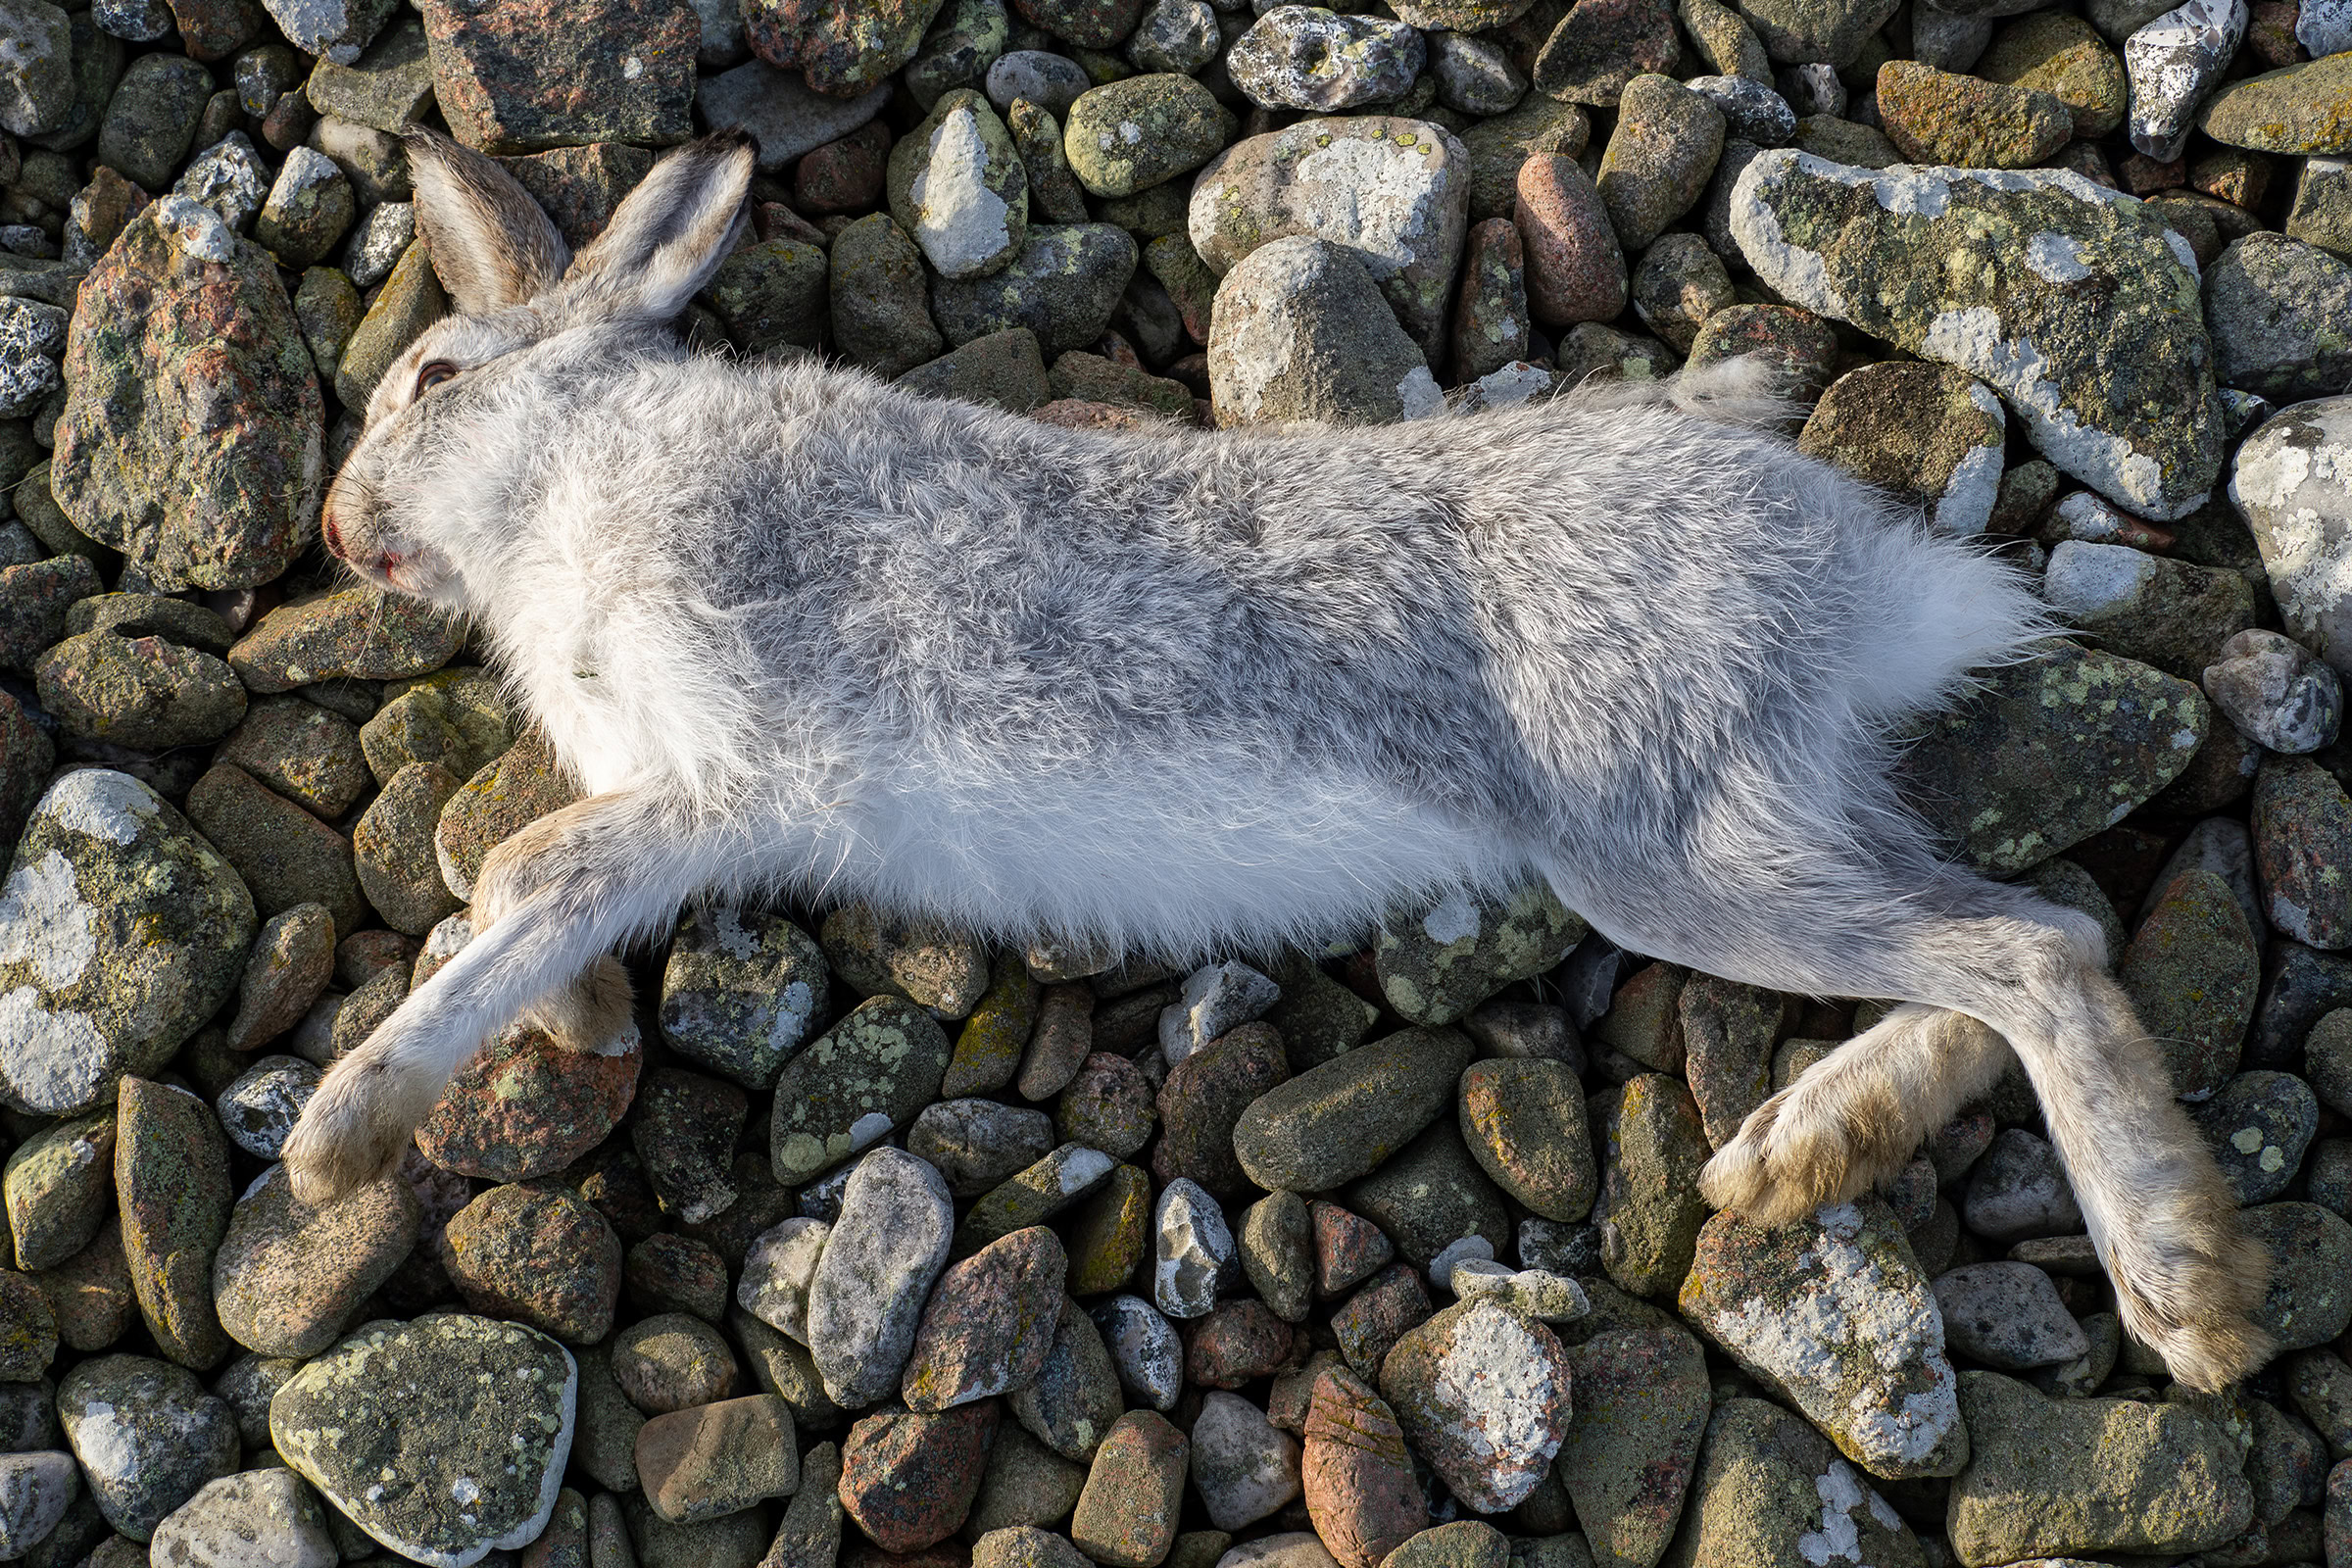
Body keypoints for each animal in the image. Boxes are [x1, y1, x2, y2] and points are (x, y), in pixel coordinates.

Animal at [281, 125, 2271, 1393]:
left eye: (436, 379)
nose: (342, 527)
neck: (572, 470)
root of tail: (1871, 578)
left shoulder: (719, 773)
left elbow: (526, 871)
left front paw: (337, 1137)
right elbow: (521, 887)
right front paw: (525, 1042)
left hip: (1661, 841)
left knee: (2036, 950)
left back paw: (2182, 1290)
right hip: (1755, 825)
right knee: (2014, 939)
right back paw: (1792, 1160)